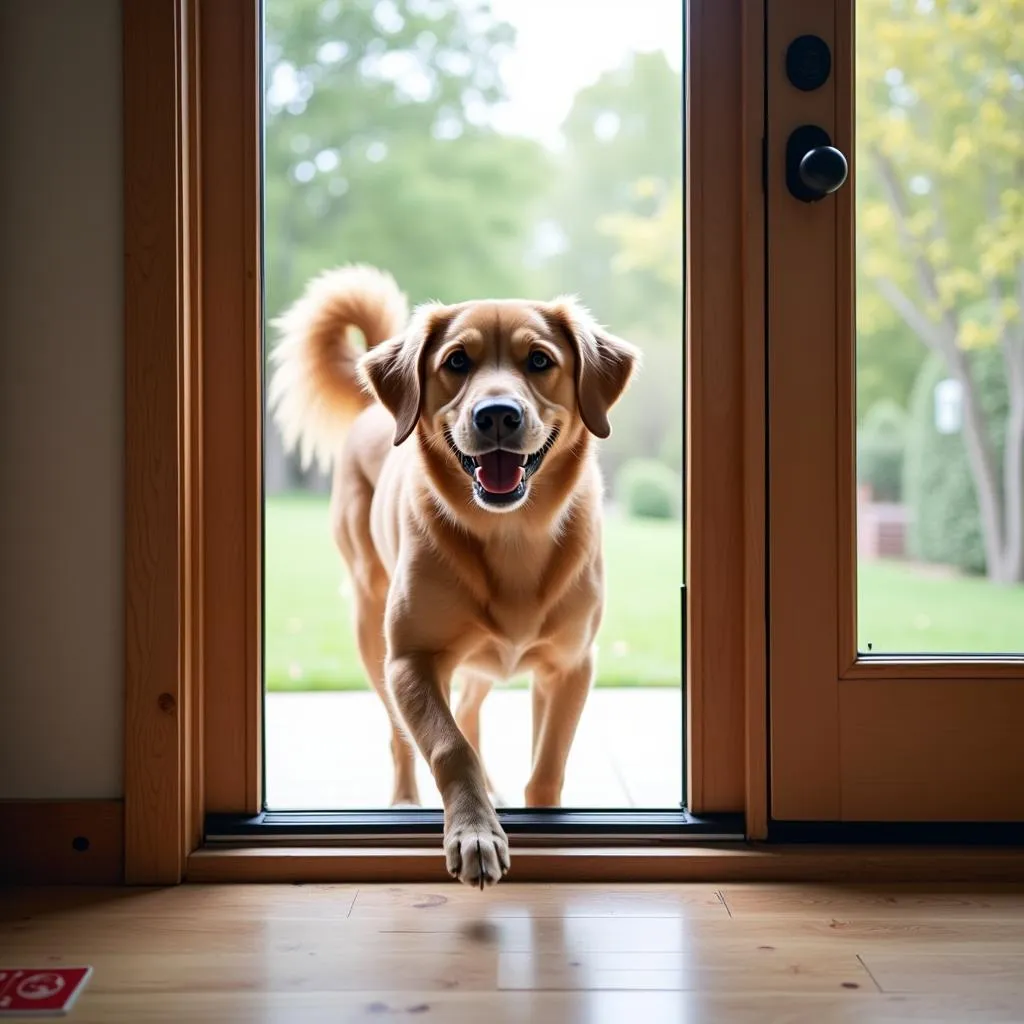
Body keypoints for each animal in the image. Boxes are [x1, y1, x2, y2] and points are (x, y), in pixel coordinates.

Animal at [268, 266, 634, 888]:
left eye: (539, 360)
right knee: (404, 733)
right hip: (372, 632)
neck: (512, 534)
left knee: (467, 709)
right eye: (457, 361)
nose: (497, 414)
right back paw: (405, 801)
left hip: (482, 660)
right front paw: (474, 832)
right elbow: (447, 747)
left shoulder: (569, 667)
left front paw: (538, 814)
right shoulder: (411, 660)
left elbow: (547, 763)